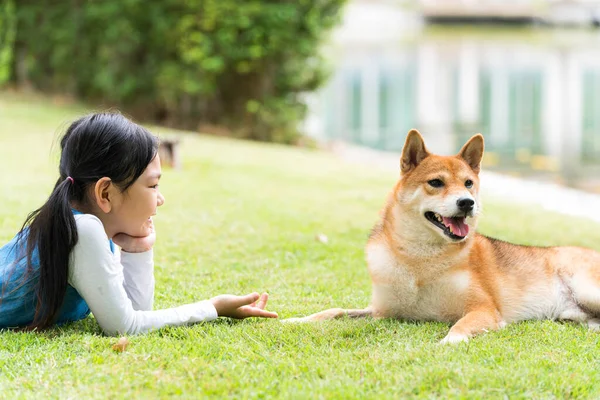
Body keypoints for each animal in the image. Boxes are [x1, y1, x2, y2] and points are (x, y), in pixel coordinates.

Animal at [284, 130, 600, 342]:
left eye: (468, 183)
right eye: (436, 183)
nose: (467, 203)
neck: (419, 261)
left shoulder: (484, 309)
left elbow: (459, 326)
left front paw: (449, 342)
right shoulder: (382, 311)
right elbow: (334, 311)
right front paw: (298, 319)